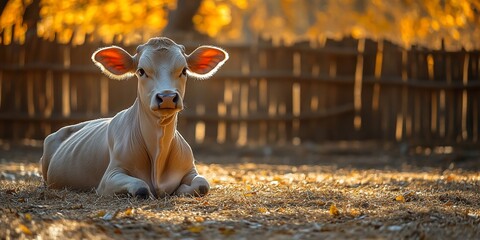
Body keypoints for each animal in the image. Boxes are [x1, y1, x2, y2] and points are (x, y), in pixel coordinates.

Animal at [39, 37, 229, 199]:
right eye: (141, 71)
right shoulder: (109, 177)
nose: (167, 97)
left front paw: (180, 189)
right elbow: (141, 187)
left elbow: (202, 184)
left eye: (184, 70)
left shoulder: (191, 170)